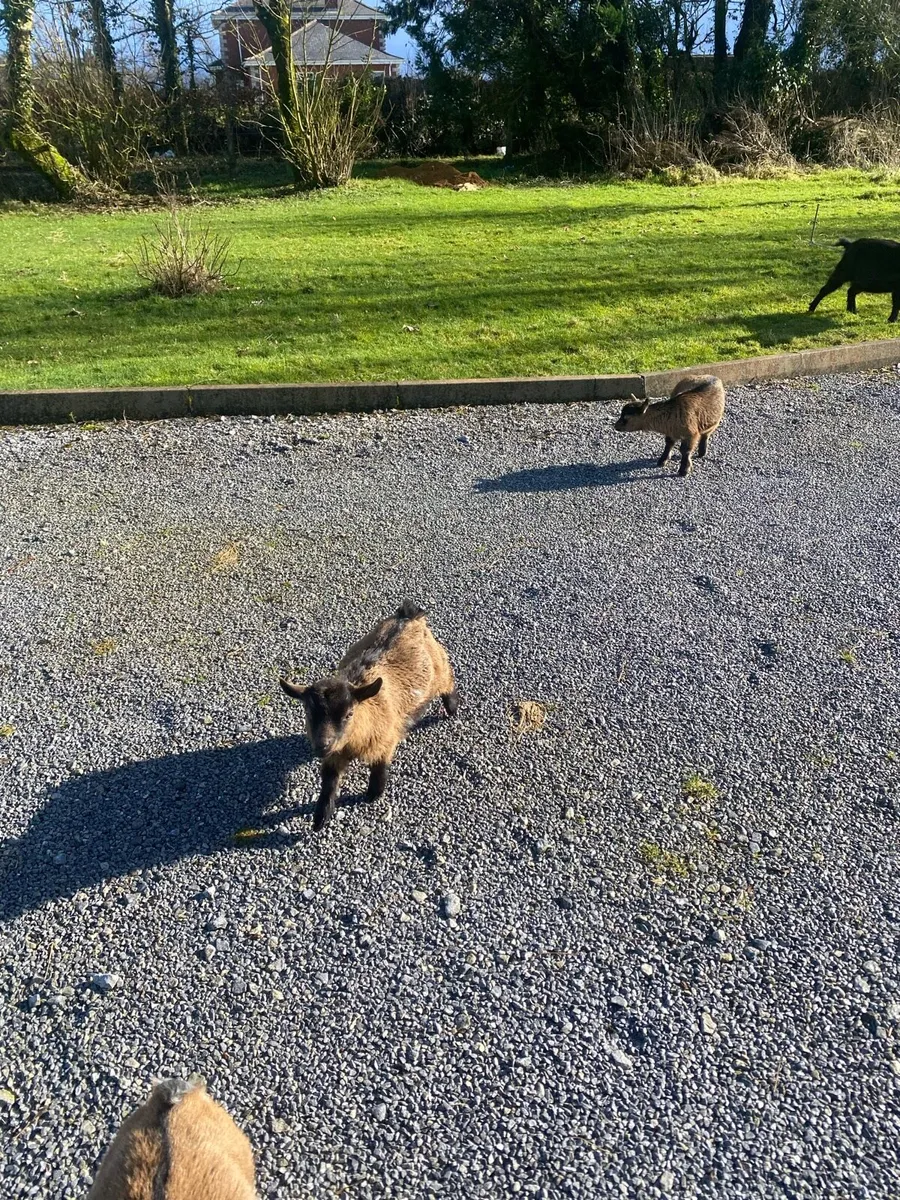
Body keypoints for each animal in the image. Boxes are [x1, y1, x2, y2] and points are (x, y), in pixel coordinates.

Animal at [280, 601, 459, 831]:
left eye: (349, 714)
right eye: (309, 712)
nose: (322, 745)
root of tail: (408, 616)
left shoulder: (385, 741)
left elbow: (379, 768)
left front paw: (373, 794)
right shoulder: (334, 756)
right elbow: (329, 782)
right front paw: (320, 818)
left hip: (441, 666)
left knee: (448, 684)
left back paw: (452, 709)